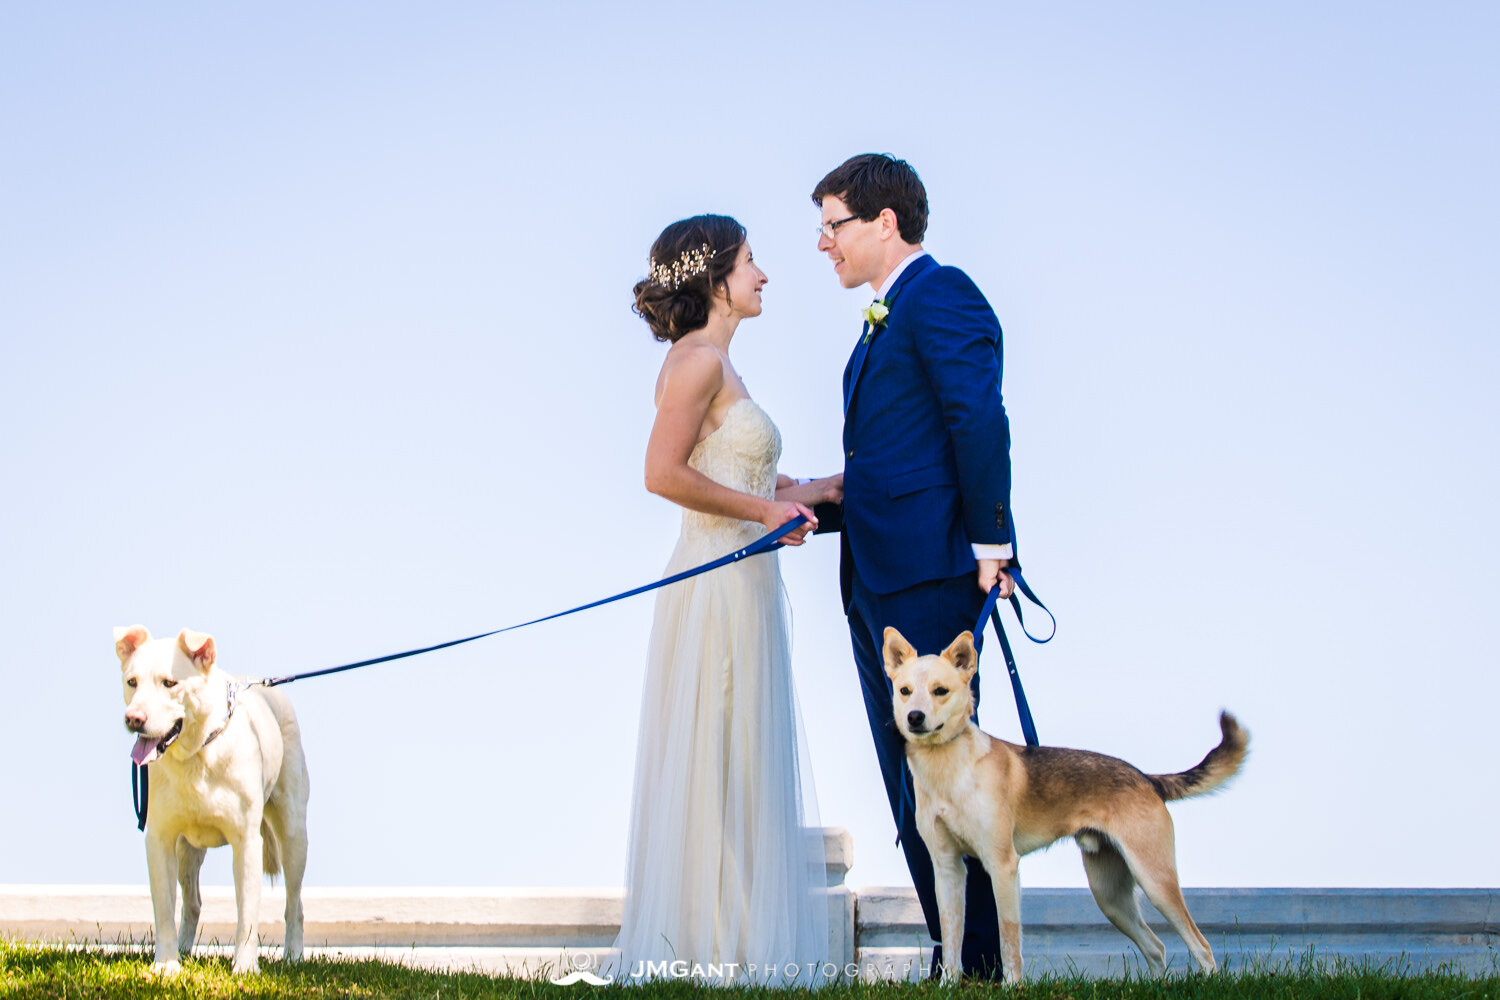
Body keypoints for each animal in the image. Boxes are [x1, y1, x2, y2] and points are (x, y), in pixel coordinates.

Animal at [114, 629, 310, 971]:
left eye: (170, 683)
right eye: (132, 682)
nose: (134, 719)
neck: (197, 753)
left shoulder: (246, 841)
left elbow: (247, 914)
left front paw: (245, 967)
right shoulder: (160, 840)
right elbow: (164, 908)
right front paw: (166, 966)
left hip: (294, 833)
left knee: (294, 902)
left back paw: (294, 955)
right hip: (186, 851)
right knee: (192, 903)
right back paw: (183, 949)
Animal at [882, 629, 1248, 983]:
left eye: (940, 691)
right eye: (904, 691)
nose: (915, 717)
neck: (950, 769)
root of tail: (1146, 779)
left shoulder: (1002, 866)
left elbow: (1009, 939)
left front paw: (1013, 987)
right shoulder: (947, 869)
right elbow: (951, 940)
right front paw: (947, 985)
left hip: (1155, 881)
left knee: (1201, 945)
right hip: (1110, 896)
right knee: (1156, 947)